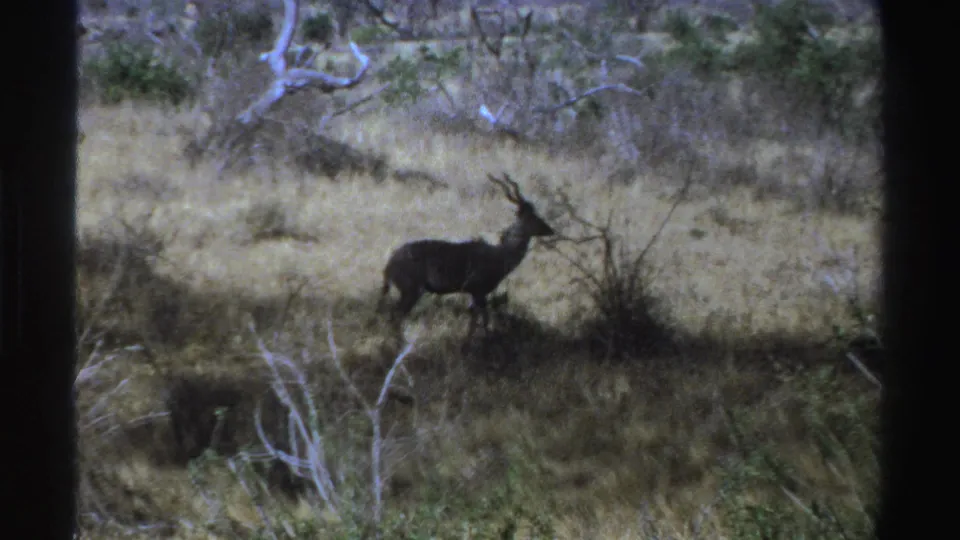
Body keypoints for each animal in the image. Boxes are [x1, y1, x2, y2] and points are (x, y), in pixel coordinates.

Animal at [379, 172, 556, 345]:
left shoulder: (474, 294)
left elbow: (475, 317)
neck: (500, 255)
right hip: (411, 291)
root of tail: (389, 266)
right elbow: (482, 318)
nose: (550, 230)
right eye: (533, 217)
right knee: (395, 315)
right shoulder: (478, 291)